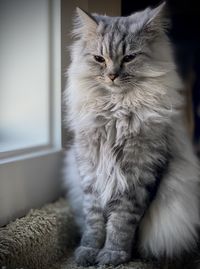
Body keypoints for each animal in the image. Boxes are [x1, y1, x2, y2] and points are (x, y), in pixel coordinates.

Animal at [63, 2, 200, 266]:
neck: (115, 113)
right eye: (99, 59)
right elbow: (94, 222)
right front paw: (87, 252)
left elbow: (121, 224)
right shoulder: (90, 174)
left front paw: (114, 256)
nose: (112, 75)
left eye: (129, 58)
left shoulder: (138, 177)